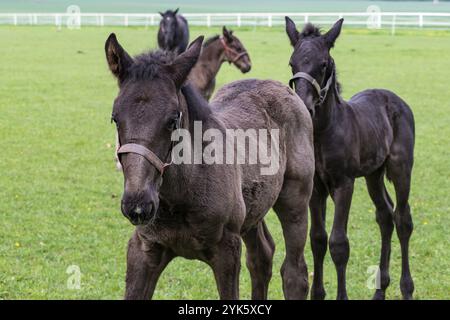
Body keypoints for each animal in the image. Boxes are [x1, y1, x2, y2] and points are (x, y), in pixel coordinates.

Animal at [106, 33, 316, 298]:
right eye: (115, 118)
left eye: (172, 119)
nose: (137, 205)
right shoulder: (144, 248)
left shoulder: (227, 250)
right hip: (254, 207)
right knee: (261, 256)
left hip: (294, 201)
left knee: (295, 272)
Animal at [284, 16, 414, 300]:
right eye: (292, 63)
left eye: (323, 64)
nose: (304, 106)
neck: (323, 134)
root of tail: (394, 98)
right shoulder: (316, 188)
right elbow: (318, 239)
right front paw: (317, 293)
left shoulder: (345, 184)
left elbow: (339, 243)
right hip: (374, 174)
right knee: (385, 216)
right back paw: (379, 290)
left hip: (401, 169)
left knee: (402, 220)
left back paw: (406, 288)